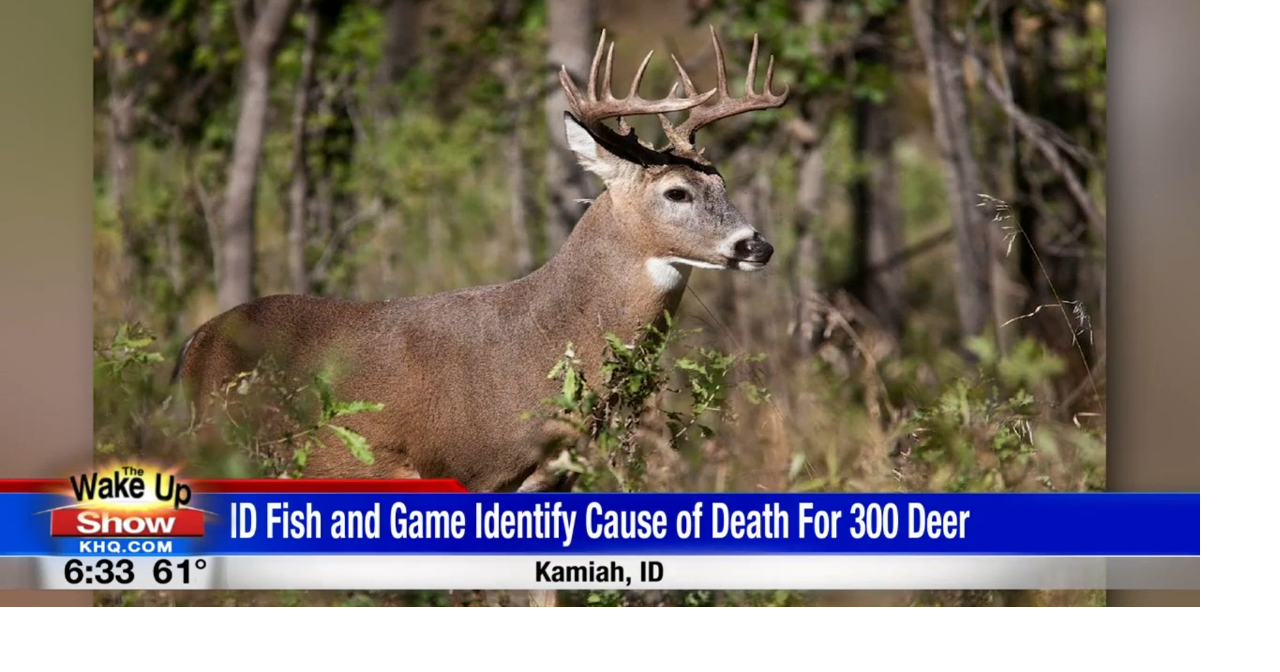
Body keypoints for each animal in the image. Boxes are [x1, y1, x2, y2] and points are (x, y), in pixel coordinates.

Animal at [171, 26, 789, 497]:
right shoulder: (449, 464)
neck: (537, 341)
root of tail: (195, 343)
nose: (757, 246)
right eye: (677, 193)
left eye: (722, 182)